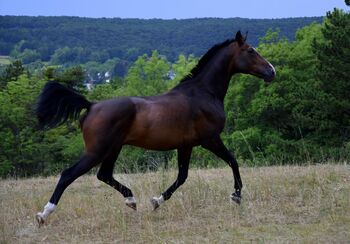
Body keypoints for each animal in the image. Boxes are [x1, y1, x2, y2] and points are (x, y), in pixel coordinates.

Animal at [35, 31, 276, 227]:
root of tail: (91, 105)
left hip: (113, 149)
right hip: (97, 151)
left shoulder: (186, 145)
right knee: (68, 175)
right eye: (250, 50)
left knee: (104, 175)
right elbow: (233, 161)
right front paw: (236, 196)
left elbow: (182, 176)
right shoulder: (211, 139)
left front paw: (156, 201)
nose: (272, 71)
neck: (203, 93)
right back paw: (43, 215)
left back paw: (131, 200)